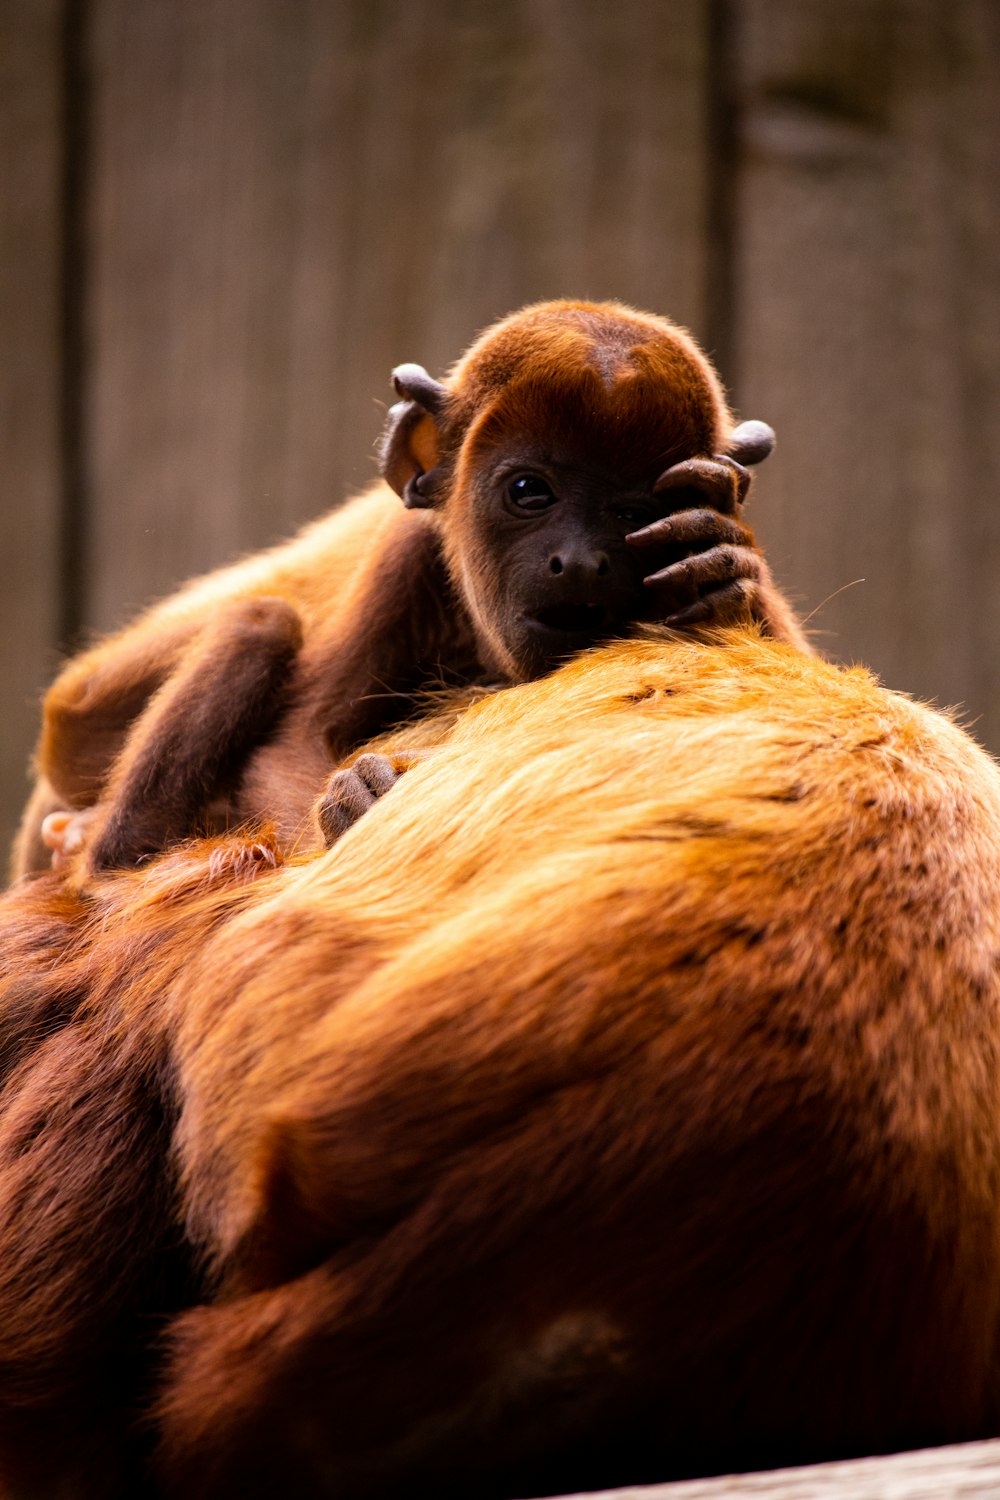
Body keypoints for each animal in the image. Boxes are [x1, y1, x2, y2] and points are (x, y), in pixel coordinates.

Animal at [15, 298, 809, 876]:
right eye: (530, 491)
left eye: (637, 515)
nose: (581, 562)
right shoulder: (406, 557)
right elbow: (301, 736)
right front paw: (353, 805)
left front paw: (725, 572)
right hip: (80, 720)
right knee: (260, 622)